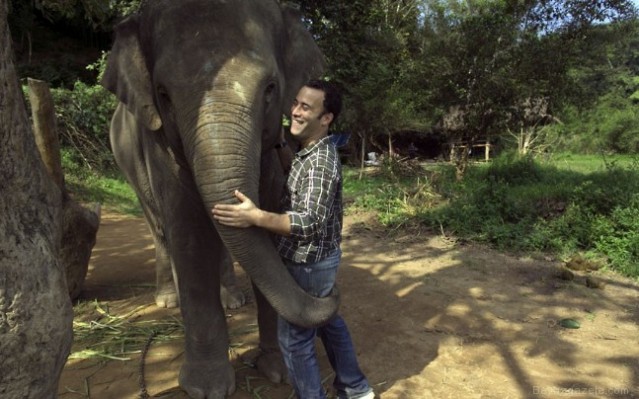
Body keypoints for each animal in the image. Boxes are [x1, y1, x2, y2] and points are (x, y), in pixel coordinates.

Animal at [100, 1, 342, 398]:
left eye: (271, 88)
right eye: (163, 94)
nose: (331, 294)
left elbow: (268, 227)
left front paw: (276, 372)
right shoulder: (159, 147)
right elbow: (190, 235)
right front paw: (207, 388)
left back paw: (232, 299)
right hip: (127, 165)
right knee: (159, 228)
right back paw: (168, 298)